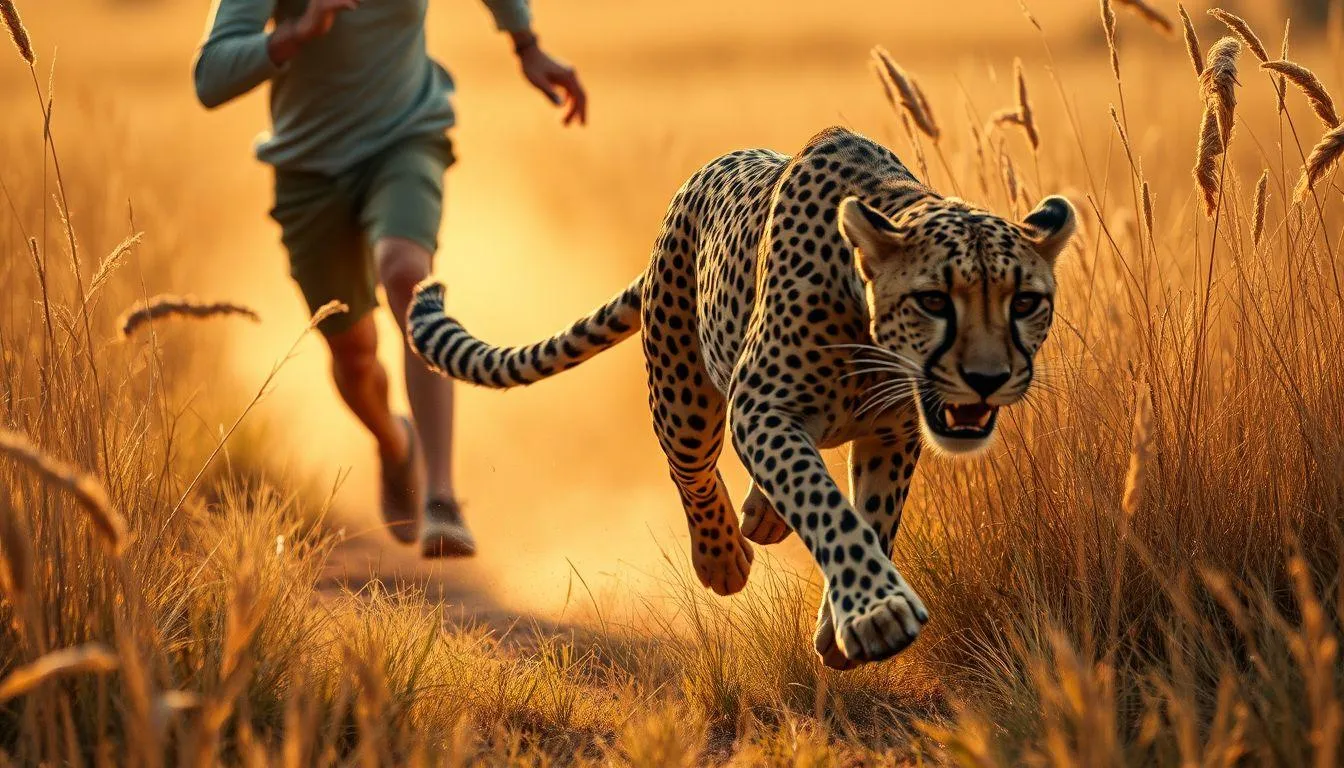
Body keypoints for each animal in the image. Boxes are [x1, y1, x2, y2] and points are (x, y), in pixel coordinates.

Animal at [406, 127, 1075, 667]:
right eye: (935, 300)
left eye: (1025, 301)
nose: (988, 377)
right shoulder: (760, 406)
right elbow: (822, 501)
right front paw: (875, 612)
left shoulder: (894, 428)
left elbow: (873, 514)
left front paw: (841, 623)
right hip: (683, 394)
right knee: (691, 470)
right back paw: (721, 556)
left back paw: (761, 516)